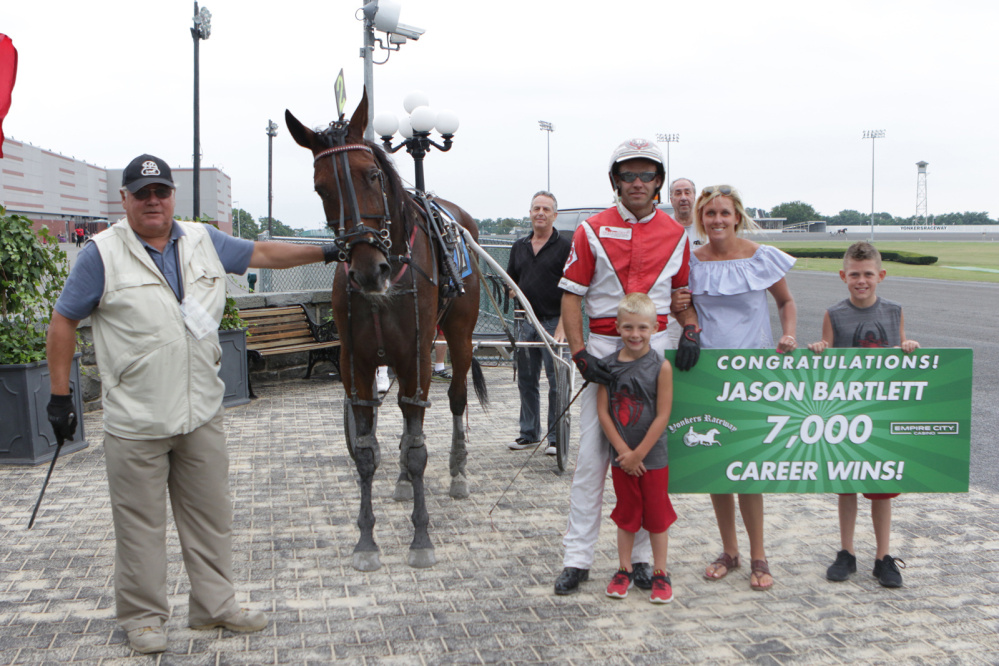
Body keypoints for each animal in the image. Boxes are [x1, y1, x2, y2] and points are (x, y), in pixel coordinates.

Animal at [286, 91, 488, 568]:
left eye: (372, 174)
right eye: (321, 187)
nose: (367, 270)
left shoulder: (417, 353)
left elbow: (418, 449)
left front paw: (421, 538)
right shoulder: (355, 360)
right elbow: (365, 450)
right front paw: (366, 541)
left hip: (458, 335)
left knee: (456, 398)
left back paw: (458, 470)